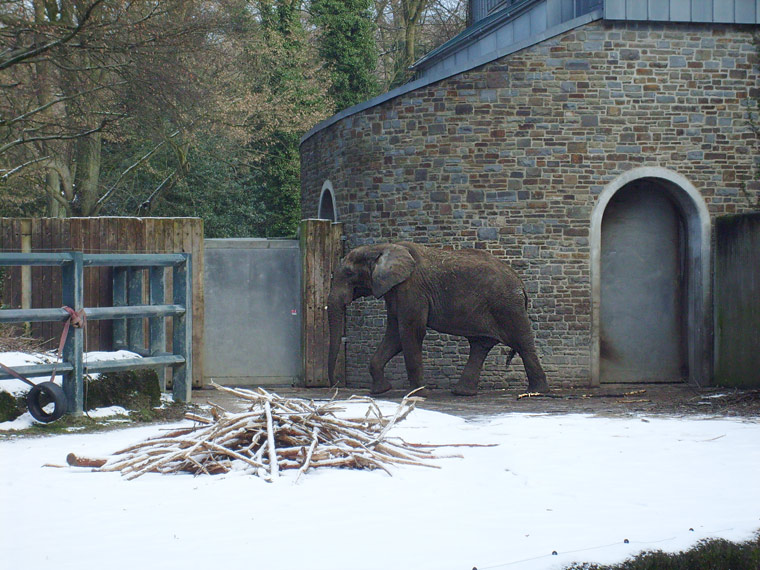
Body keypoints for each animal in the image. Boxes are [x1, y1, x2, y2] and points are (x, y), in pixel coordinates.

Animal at [326, 241, 548, 394]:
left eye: (348, 273)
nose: (333, 385)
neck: (382, 246)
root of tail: (521, 284)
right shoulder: (395, 291)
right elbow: (394, 335)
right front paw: (381, 391)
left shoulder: (412, 289)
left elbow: (410, 332)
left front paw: (416, 394)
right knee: (480, 345)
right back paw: (462, 393)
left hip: (508, 306)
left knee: (522, 343)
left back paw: (536, 392)